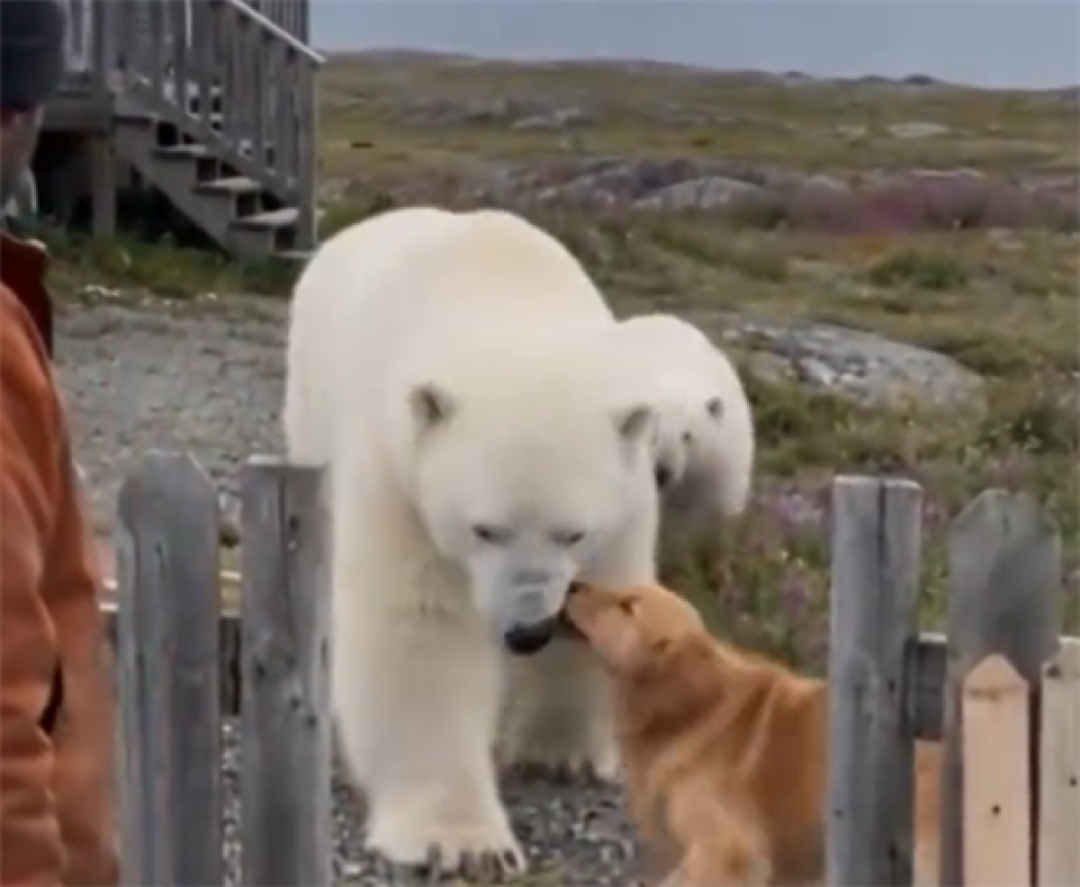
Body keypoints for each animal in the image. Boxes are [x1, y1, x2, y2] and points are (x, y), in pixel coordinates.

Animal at [283, 205, 660, 878]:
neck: (500, 288)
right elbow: (420, 627)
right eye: (484, 529)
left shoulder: (627, 496)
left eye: (573, 531)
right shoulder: (398, 472)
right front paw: (459, 843)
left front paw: (557, 753)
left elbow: (607, 598)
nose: (527, 631)